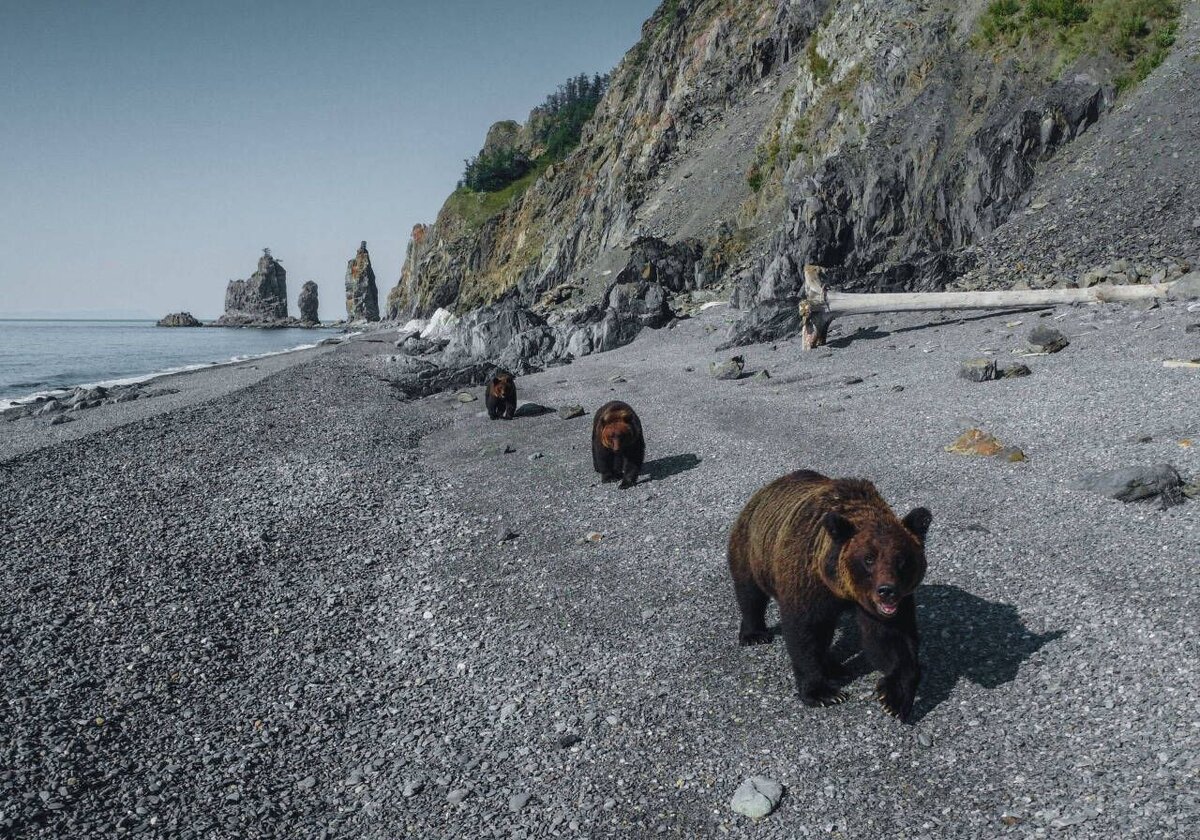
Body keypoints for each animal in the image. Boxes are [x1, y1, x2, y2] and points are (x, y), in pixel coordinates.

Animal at [724, 472, 931, 720]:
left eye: (902, 560)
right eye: (869, 559)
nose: (887, 591)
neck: (840, 588)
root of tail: (764, 490)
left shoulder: (888, 603)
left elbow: (892, 637)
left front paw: (895, 698)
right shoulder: (806, 579)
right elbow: (804, 634)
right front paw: (823, 692)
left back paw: (835, 666)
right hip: (753, 550)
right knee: (750, 593)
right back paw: (754, 634)